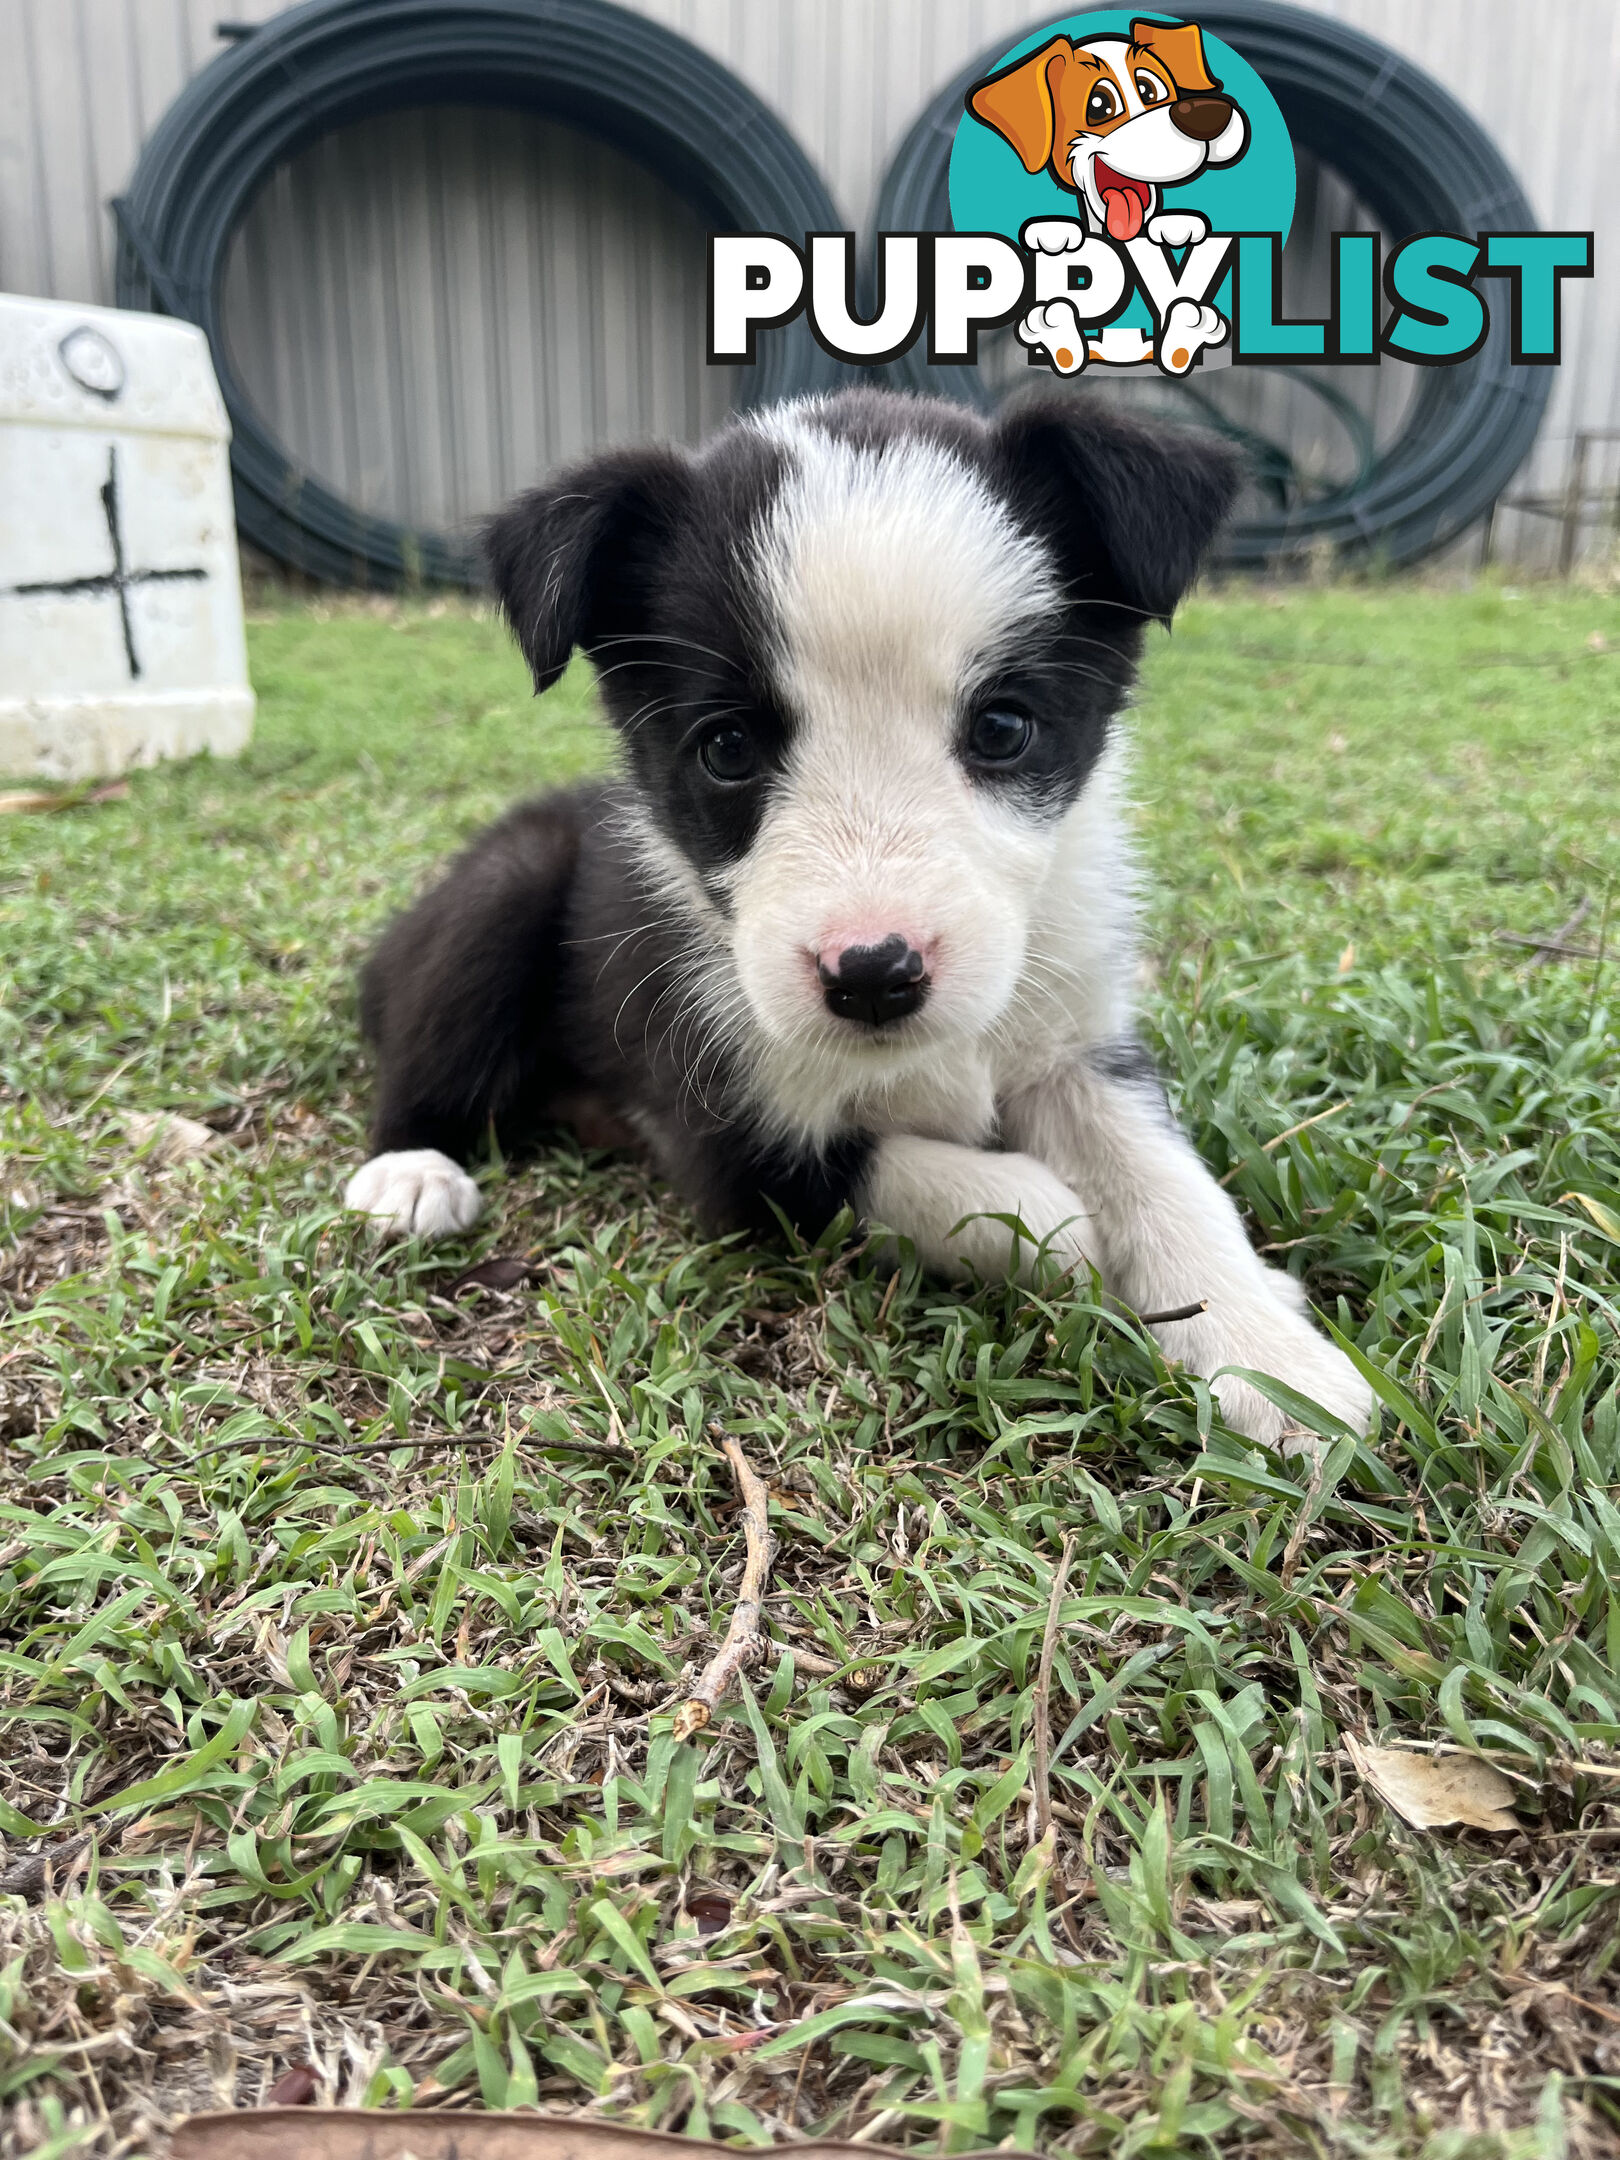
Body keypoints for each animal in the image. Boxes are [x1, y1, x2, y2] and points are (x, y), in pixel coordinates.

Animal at [343, 393, 1373, 1451]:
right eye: (726, 748)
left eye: (1003, 728)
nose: (875, 974)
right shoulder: (726, 1134)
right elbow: (938, 1182)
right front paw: (1058, 1225)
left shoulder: (1076, 1043)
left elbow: (1167, 1179)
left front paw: (1269, 1358)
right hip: (503, 888)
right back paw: (410, 1172)